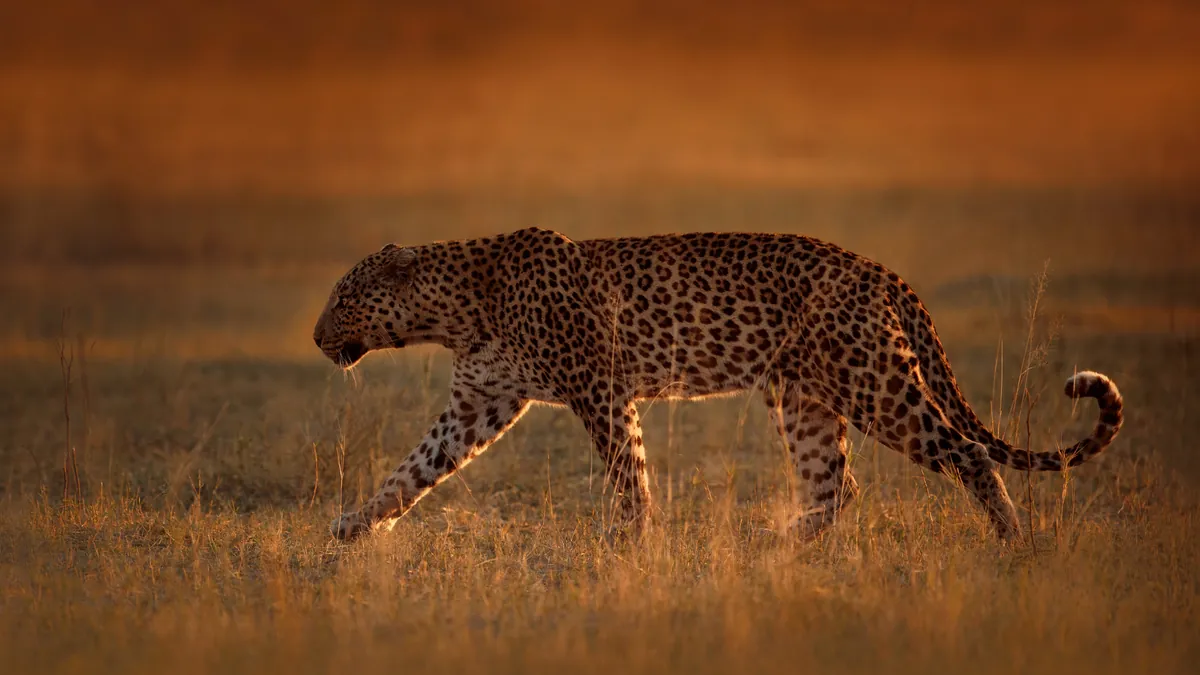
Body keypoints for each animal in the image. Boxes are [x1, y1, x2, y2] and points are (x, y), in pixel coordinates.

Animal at [313, 227, 1123, 543]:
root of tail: (879, 268)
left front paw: (630, 544)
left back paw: (1015, 543)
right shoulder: (480, 405)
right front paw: (354, 527)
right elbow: (413, 470)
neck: (453, 312)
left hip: (873, 383)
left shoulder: (600, 390)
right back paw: (776, 544)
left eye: (343, 298)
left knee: (967, 453)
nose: (317, 337)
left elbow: (628, 474)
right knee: (837, 487)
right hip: (803, 398)